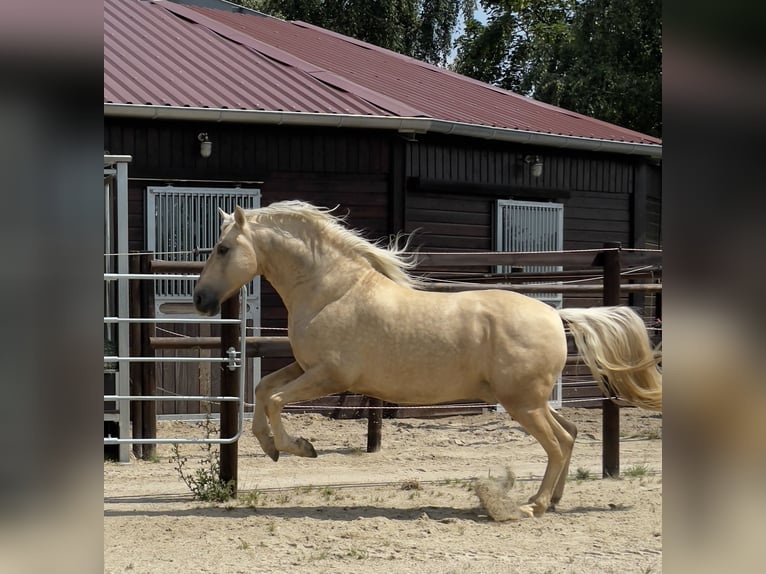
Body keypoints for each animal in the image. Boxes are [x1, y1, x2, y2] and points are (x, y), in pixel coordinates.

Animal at [195, 200, 664, 520]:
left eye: (223, 248)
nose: (200, 299)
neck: (332, 290)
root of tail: (555, 314)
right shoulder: (306, 368)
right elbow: (263, 390)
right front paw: (270, 447)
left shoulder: (329, 376)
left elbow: (275, 401)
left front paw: (299, 448)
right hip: (531, 400)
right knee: (569, 433)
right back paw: (549, 500)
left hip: (523, 403)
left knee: (560, 442)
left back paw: (534, 505)